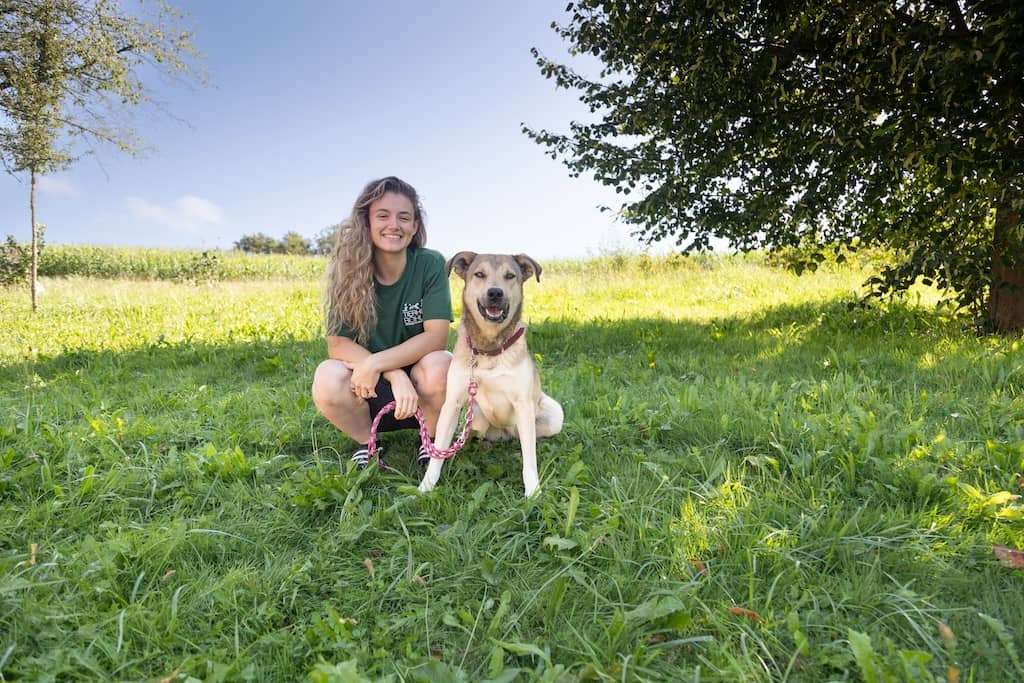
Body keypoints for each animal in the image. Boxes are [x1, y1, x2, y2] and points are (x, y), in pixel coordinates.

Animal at [417, 250, 569, 497]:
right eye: (479, 274)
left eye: (510, 276)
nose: (495, 293)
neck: (489, 348)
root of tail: (507, 434)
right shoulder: (452, 404)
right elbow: (437, 451)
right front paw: (425, 486)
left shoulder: (523, 404)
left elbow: (529, 460)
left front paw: (533, 491)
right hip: (475, 418)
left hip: (553, 413)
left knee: (533, 437)